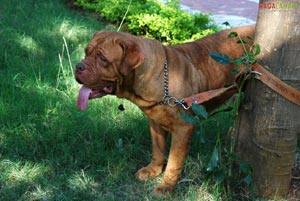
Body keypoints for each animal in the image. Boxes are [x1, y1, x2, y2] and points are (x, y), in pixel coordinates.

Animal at [75, 25, 255, 196]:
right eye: (86, 52)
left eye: (102, 59)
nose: (78, 66)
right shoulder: (155, 122)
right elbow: (158, 150)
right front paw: (153, 170)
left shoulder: (183, 129)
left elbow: (174, 163)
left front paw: (165, 188)